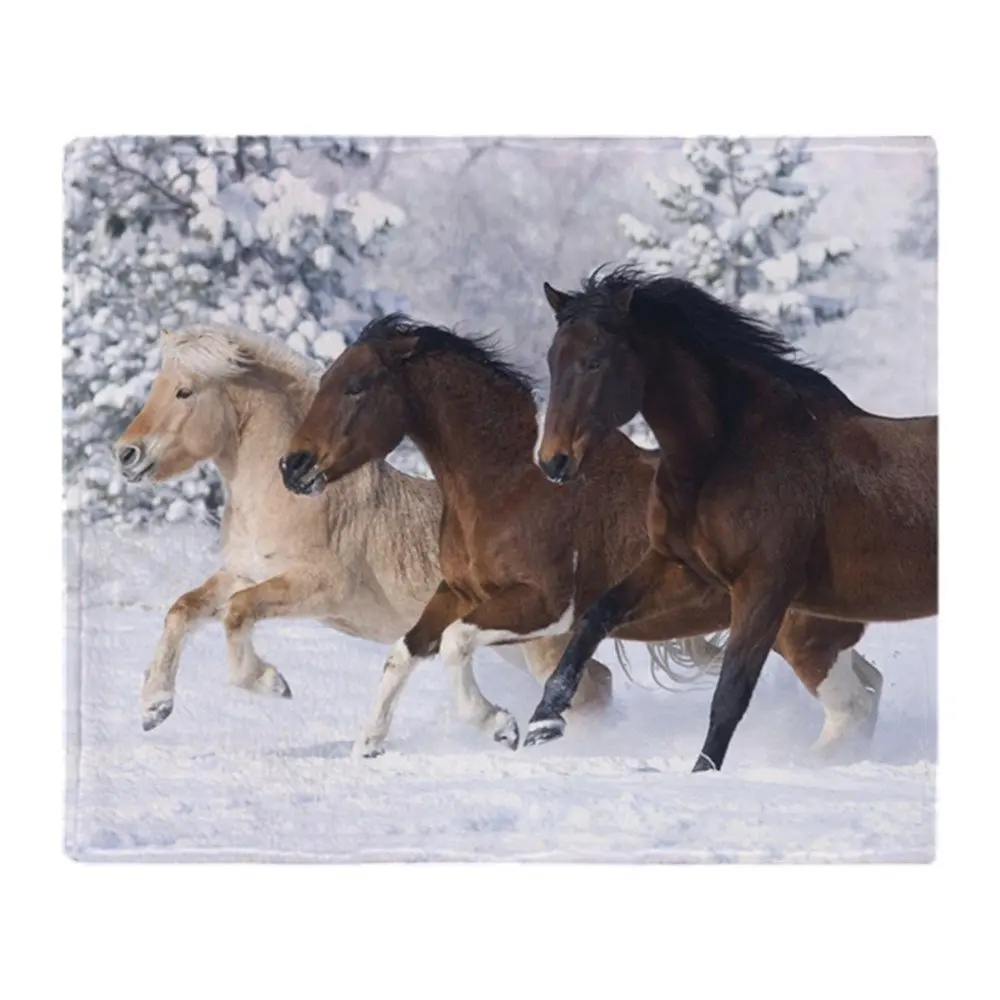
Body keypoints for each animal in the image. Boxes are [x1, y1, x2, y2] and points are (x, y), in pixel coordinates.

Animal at [114, 324, 616, 746]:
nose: (125, 454)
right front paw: (154, 707)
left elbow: (237, 613)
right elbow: (183, 609)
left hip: (538, 644)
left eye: (185, 391)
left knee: (593, 687)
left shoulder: (320, 588)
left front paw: (272, 683)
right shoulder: (243, 572)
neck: (288, 497)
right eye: (156, 386)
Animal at [280, 313, 882, 757]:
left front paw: (502, 725)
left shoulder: (545, 606)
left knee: (852, 706)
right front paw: (369, 744)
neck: (508, 483)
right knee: (868, 689)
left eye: (356, 387)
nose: (292, 466)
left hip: (801, 636)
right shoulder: (457, 592)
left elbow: (454, 645)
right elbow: (404, 652)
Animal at [532, 265, 936, 771]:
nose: (553, 461)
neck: (726, 451)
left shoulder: (764, 587)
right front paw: (543, 721)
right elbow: (595, 617)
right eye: (553, 359)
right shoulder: (684, 569)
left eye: (594, 361)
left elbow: (730, 696)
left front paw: (701, 773)